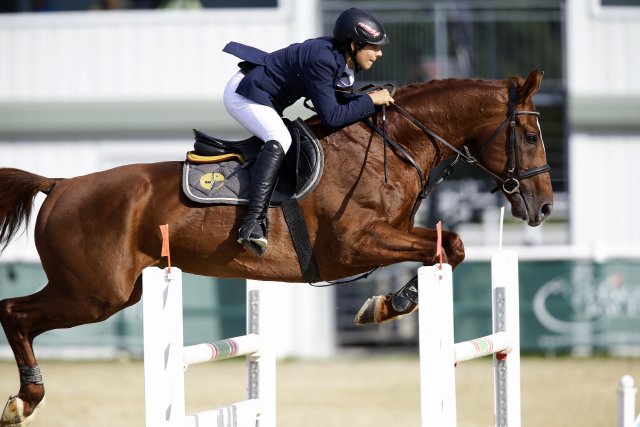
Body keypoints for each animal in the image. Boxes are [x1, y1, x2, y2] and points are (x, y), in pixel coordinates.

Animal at [0, 69, 552, 424]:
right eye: (528, 136)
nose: (544, 207)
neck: (392, 148)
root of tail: (59, 184)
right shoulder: (353, 246)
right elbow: (451, 246)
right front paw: (385, 305)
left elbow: (448, 249)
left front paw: (385, 305)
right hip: (95, 293)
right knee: (14, 311)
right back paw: (25, 399)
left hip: (109, 292)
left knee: (20, 313)